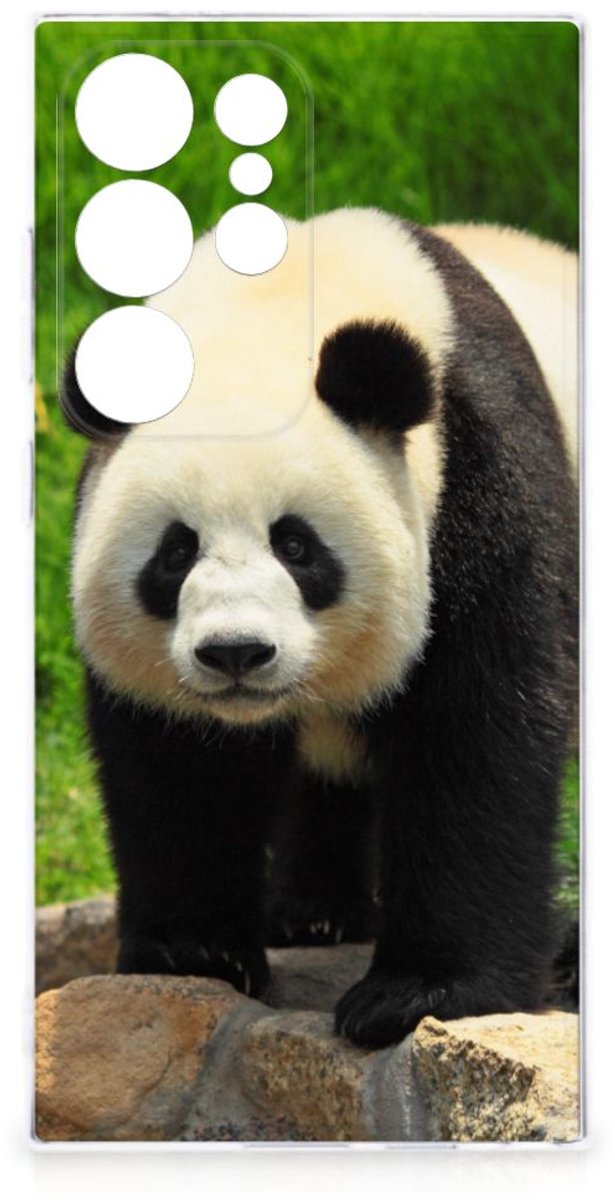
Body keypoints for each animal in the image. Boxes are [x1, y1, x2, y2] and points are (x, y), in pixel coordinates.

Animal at [64, 209, 578, 1049]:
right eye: (175, 552)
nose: (235, 653)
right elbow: (179, 765)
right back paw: (313, 913)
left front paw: (419, 992)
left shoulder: (480, 478)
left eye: (296, 545)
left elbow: (476, 733)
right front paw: (194, 950)